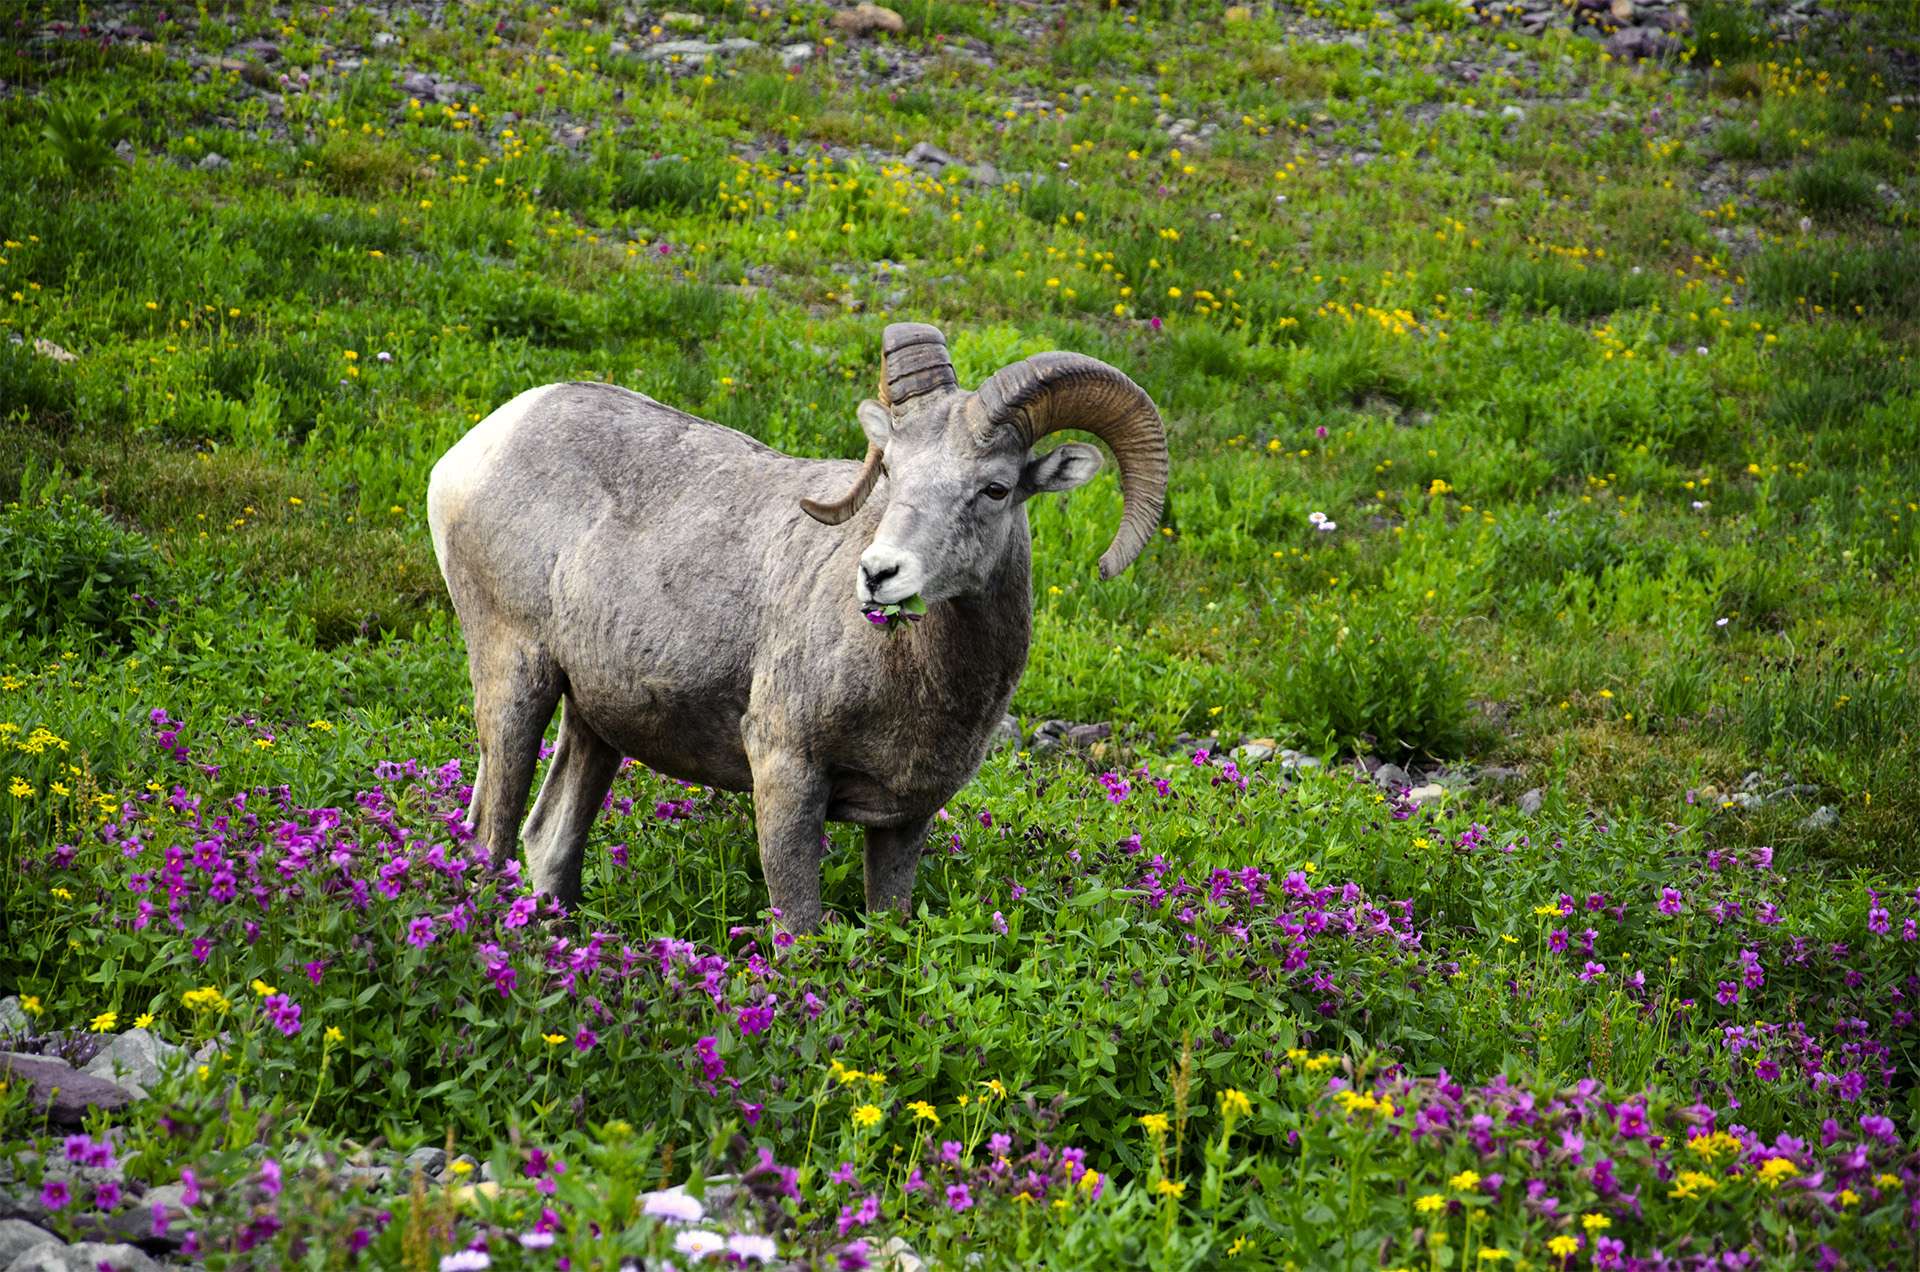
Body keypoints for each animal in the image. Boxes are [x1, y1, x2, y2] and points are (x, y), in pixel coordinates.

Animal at [424, 324, 1167, 933]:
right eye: (891, 471)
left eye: (995, 488)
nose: (878, 574)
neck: (919, 680)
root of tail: (475, 448)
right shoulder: (786, 774)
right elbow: (801, 931)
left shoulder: (903, 822)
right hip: (515, 678)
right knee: (489, 839)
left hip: (594, 720)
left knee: (549, 843)